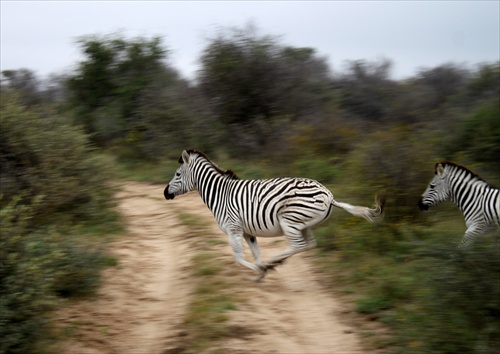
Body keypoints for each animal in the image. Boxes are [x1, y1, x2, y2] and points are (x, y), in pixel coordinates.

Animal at [164, 149, 382, 282]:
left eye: (177, 174)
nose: (165, 193)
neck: (220, 194)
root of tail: (329, 196)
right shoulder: (247, 231)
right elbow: (255, 253)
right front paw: (261, 269)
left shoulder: (233, 228)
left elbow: (239, 257)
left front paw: (260, 271)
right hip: (305, 224)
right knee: (309, 244)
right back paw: (275, 262)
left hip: (289, 221)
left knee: (298, 245)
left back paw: (273, 261)